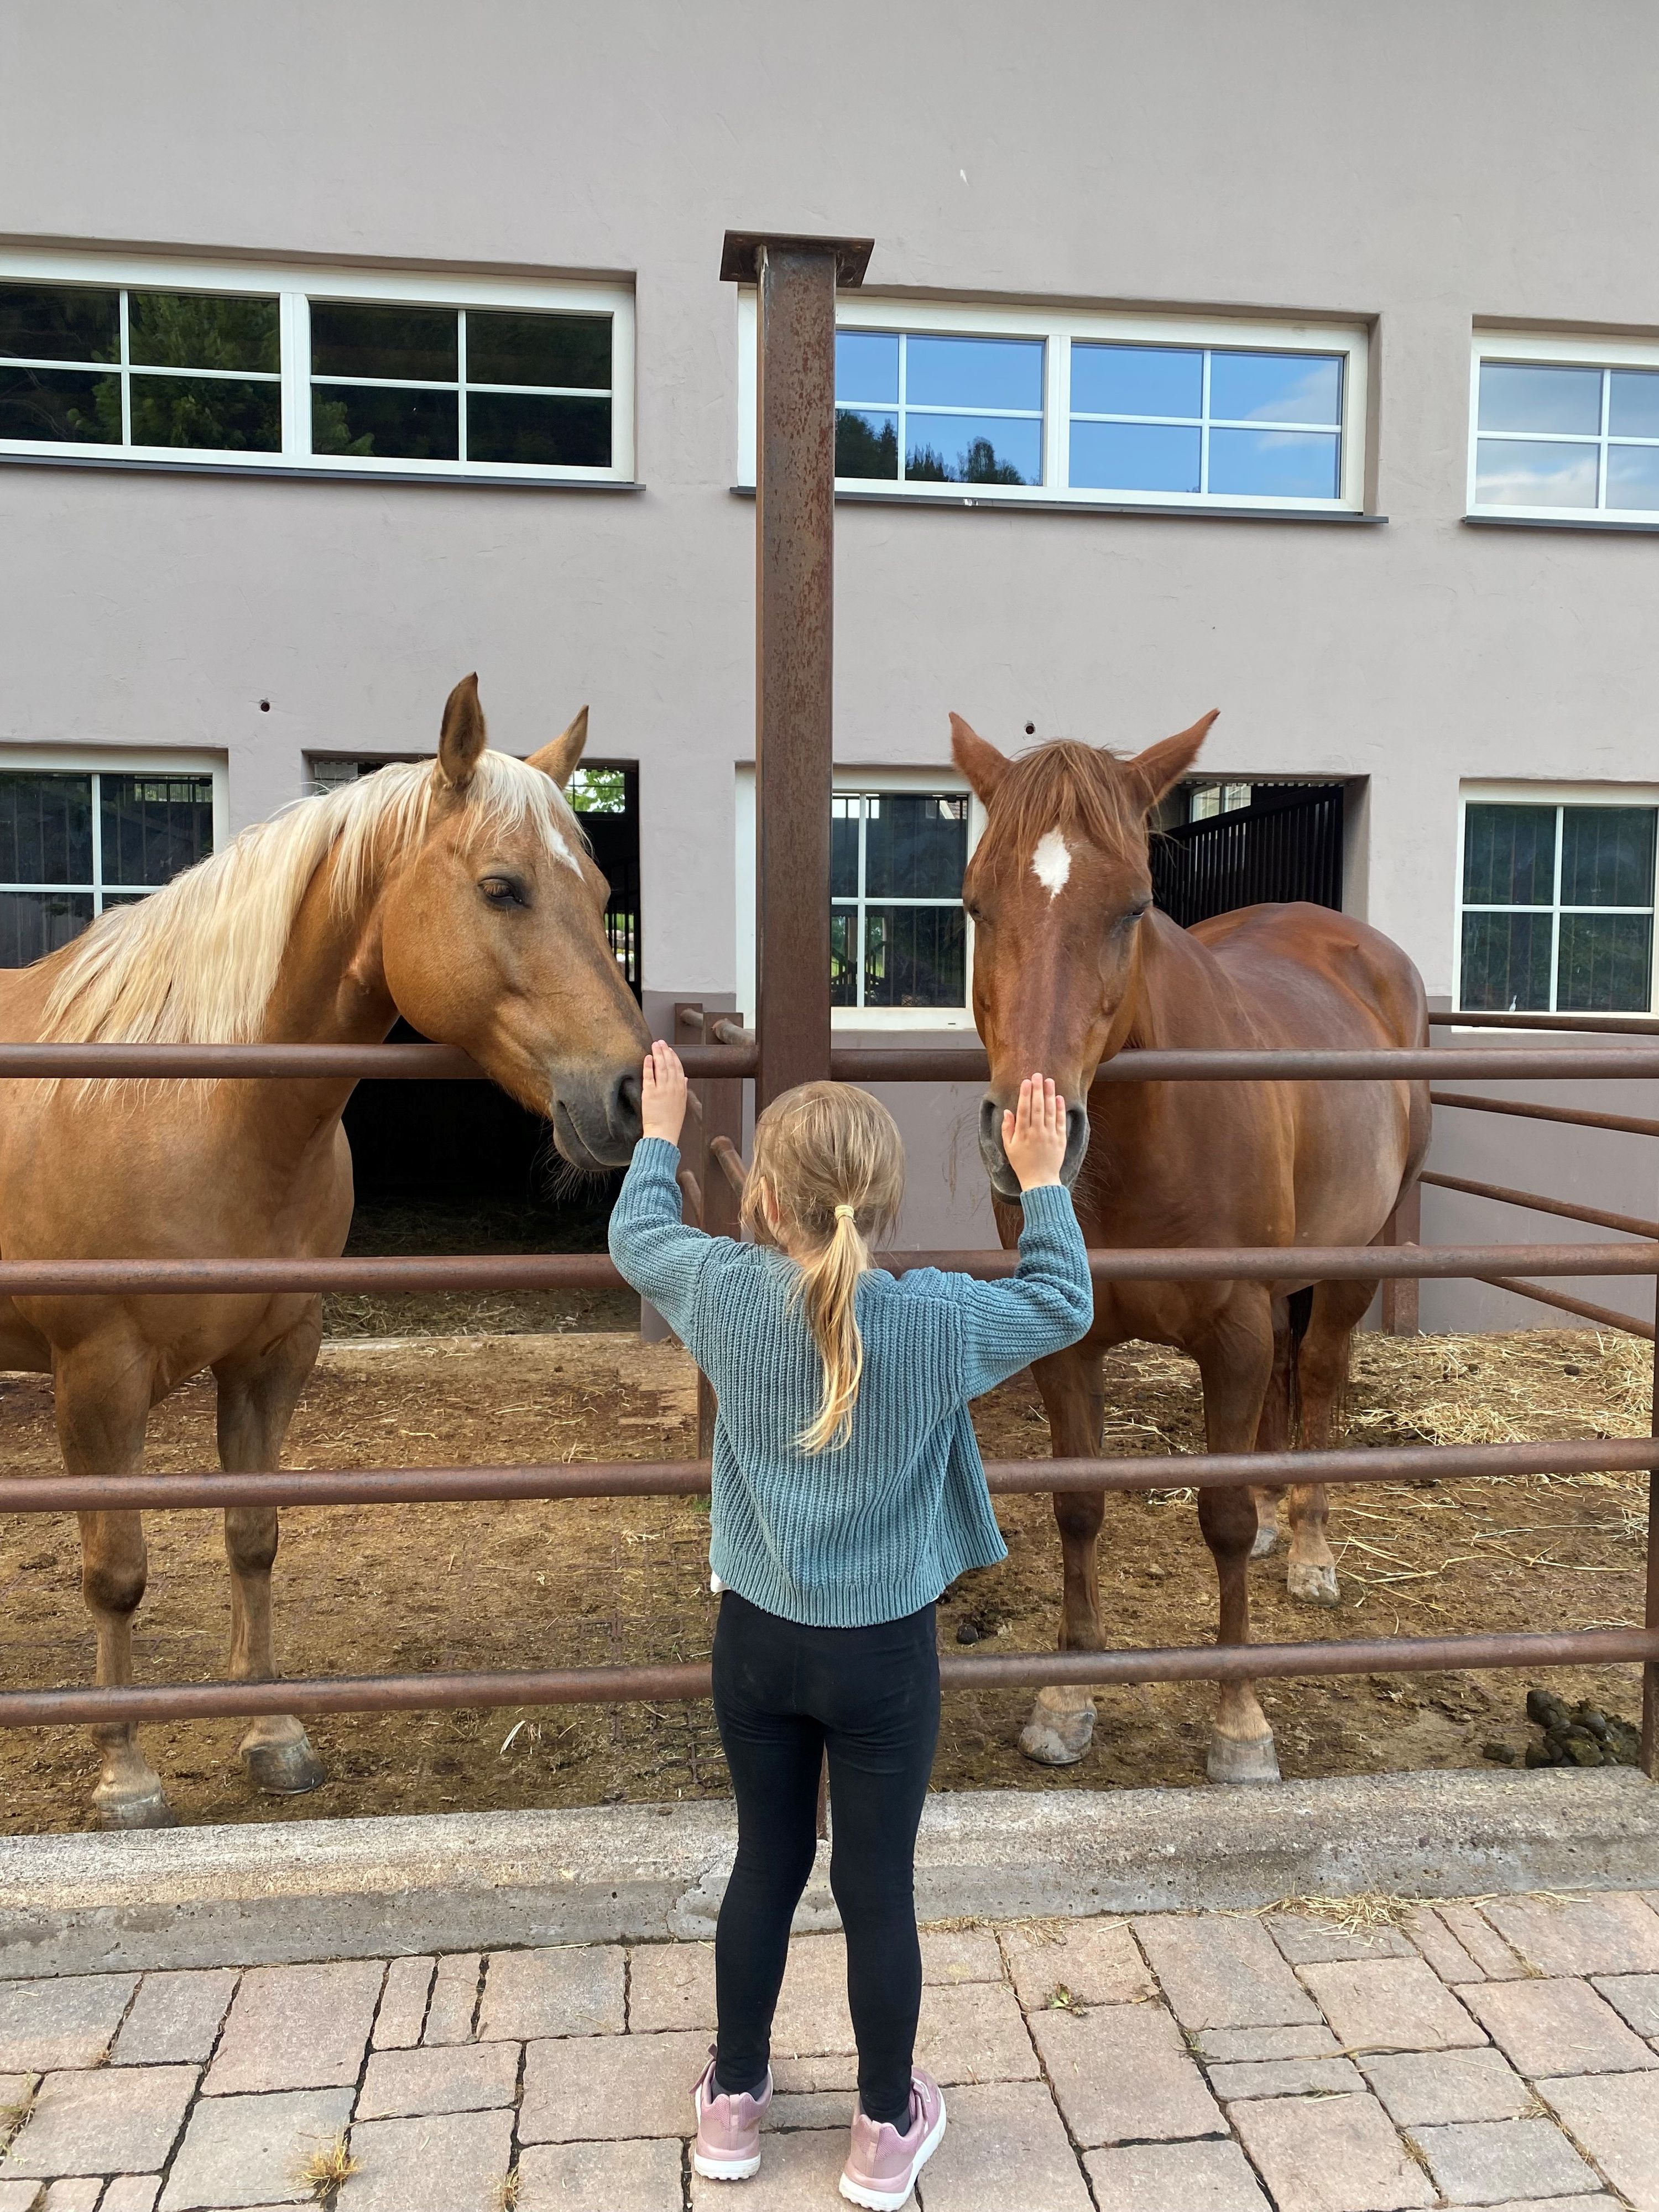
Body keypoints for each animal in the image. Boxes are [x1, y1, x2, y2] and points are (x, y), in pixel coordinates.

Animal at [0, 674, 649, 1829]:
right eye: (503, 888)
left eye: (602, 887)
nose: (627, 1095)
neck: (192, 1105)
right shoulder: (97, 1382)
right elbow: (116, 1571)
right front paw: (124, 1775)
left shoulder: (271, 1357)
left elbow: (253, 1537)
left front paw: (273, 1731)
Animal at [950, 709, 1429, 1784]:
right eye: (973, 907)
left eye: (1133, 908)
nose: (1029, 1134)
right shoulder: (1066, 1347)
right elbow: (1080, 1510)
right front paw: (1066, 1700)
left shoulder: (1236, 1334)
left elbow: (1222, 1521)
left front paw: (1241, 1723)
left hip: (1355, 1262)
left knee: (1319, 1377)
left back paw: (1310, 1551)